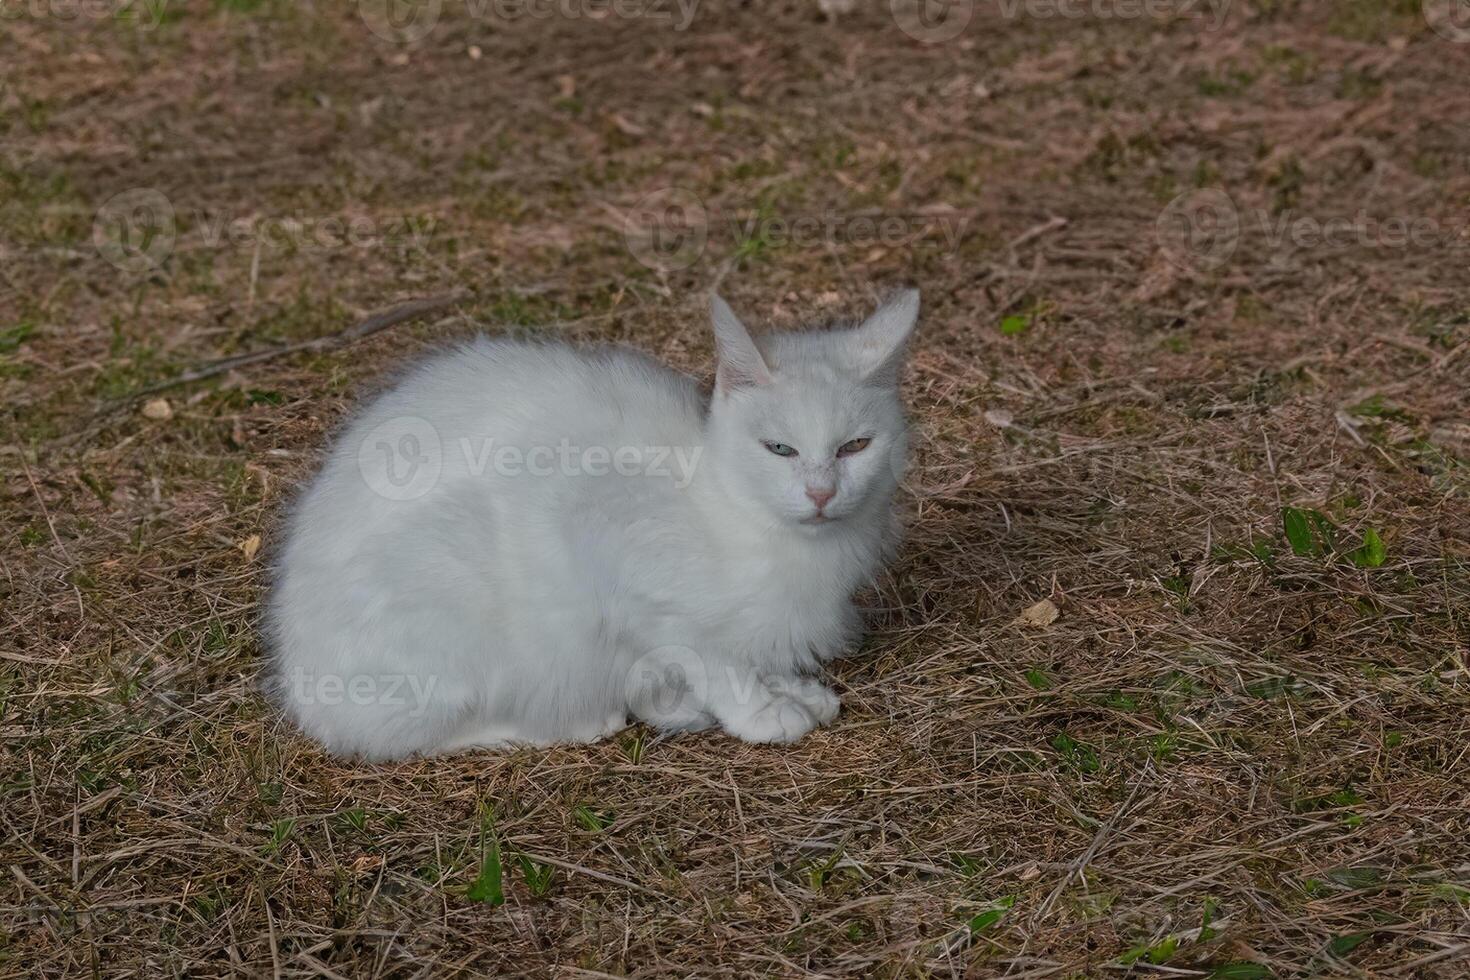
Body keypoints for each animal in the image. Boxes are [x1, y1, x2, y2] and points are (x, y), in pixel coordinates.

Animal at [264, 287, 917, 764]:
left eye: (856, 446)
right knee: (400, 737)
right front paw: (763, 713)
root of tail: (300, 684)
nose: (821, 493)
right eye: (779, 448)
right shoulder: (604, 538)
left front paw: (793, 692)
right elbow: (709, 656)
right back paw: (557, 725)